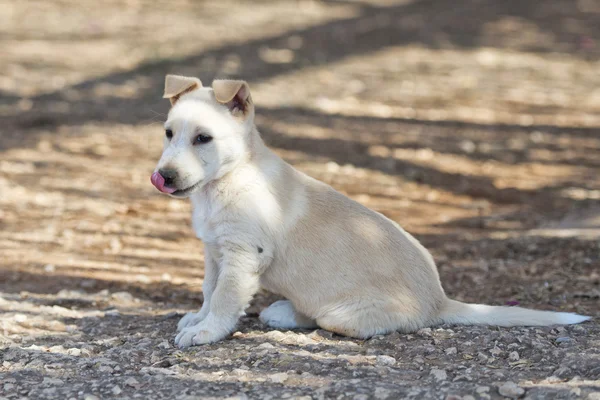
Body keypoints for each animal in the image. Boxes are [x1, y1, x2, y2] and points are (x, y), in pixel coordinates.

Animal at [151, 74, 592, 346]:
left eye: (204, 138)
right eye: (169, 133)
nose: (164, 176)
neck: (226, 180)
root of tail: (439, 302)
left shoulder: (242, 255)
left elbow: (225, 298)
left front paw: (206, 332)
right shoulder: (214, 252)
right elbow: (209, 291)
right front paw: (199, 319)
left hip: (340, 313)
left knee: (328, 318)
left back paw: (287, 315)